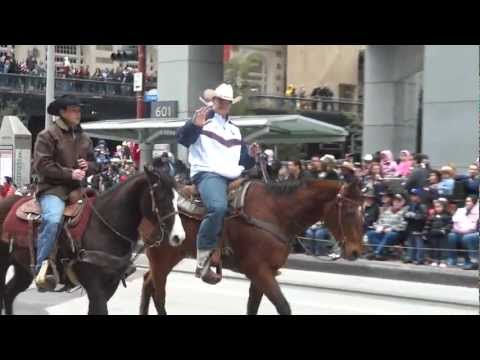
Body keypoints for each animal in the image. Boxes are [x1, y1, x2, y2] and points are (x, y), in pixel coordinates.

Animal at [0, 169, 186, 316]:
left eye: (178, 198)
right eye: (161, 198)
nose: (179, 237)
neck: (104, 226)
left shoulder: (110, 287)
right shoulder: (95, 287)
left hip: (23, 269)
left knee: (8, 294)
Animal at [139, 177, 364, 316]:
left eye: (363, 210)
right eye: (349, 212)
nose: (356, 251)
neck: (276, 212)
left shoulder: (265, 273)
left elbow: (252, 307)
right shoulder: (258, 271)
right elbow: (283, 306)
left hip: (170, 257)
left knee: (148, 283)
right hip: (161, 258)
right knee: (158, 293)